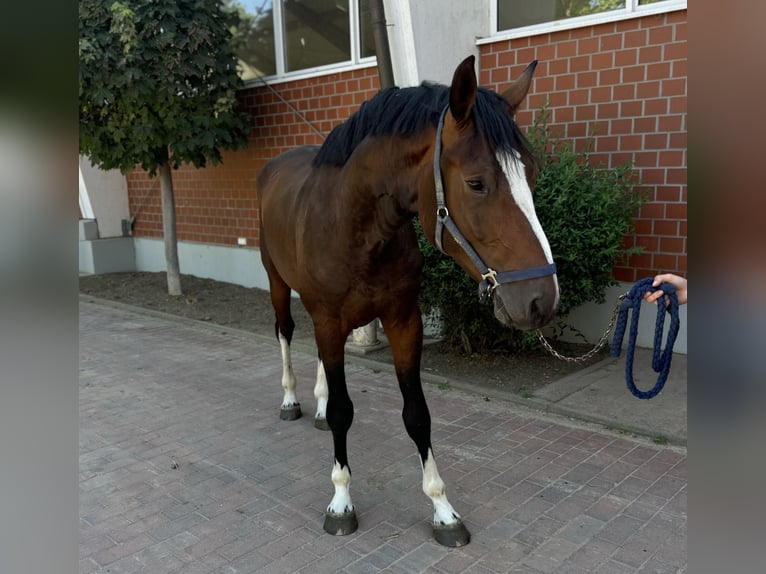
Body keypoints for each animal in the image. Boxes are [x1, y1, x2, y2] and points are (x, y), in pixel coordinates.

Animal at [255, 55, 560, 548]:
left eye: (530, 175)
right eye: (476, 183)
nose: (541, 300)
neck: (355, 225)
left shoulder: (402, 319)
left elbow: (417, 416)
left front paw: (443, 510)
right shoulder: (330, 317)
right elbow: (343, 412)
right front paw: (341, 501)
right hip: (278, 283)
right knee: (285, 333)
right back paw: (291, 401)